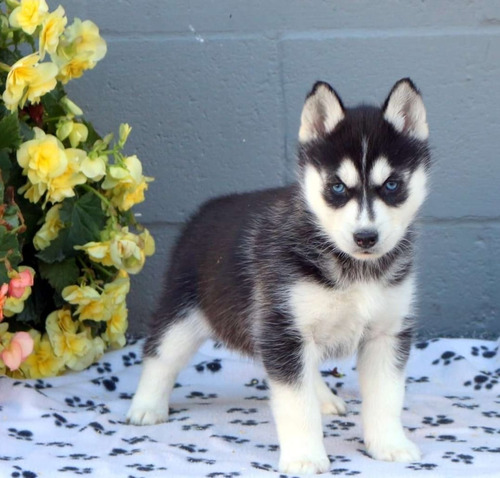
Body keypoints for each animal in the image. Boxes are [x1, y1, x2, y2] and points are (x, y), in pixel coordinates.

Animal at [126, 79, 430, 474]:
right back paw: (146, 406)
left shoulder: (387, 333)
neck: (353, 269)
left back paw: (323, 397)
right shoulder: (283, 328)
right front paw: (304, 457)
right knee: (159, 354)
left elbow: (386, 397)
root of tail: (204, 211)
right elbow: (295, 405)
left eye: (392, 185)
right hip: (184, 312)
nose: (366, 237)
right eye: (337, 187)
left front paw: (390, 445)